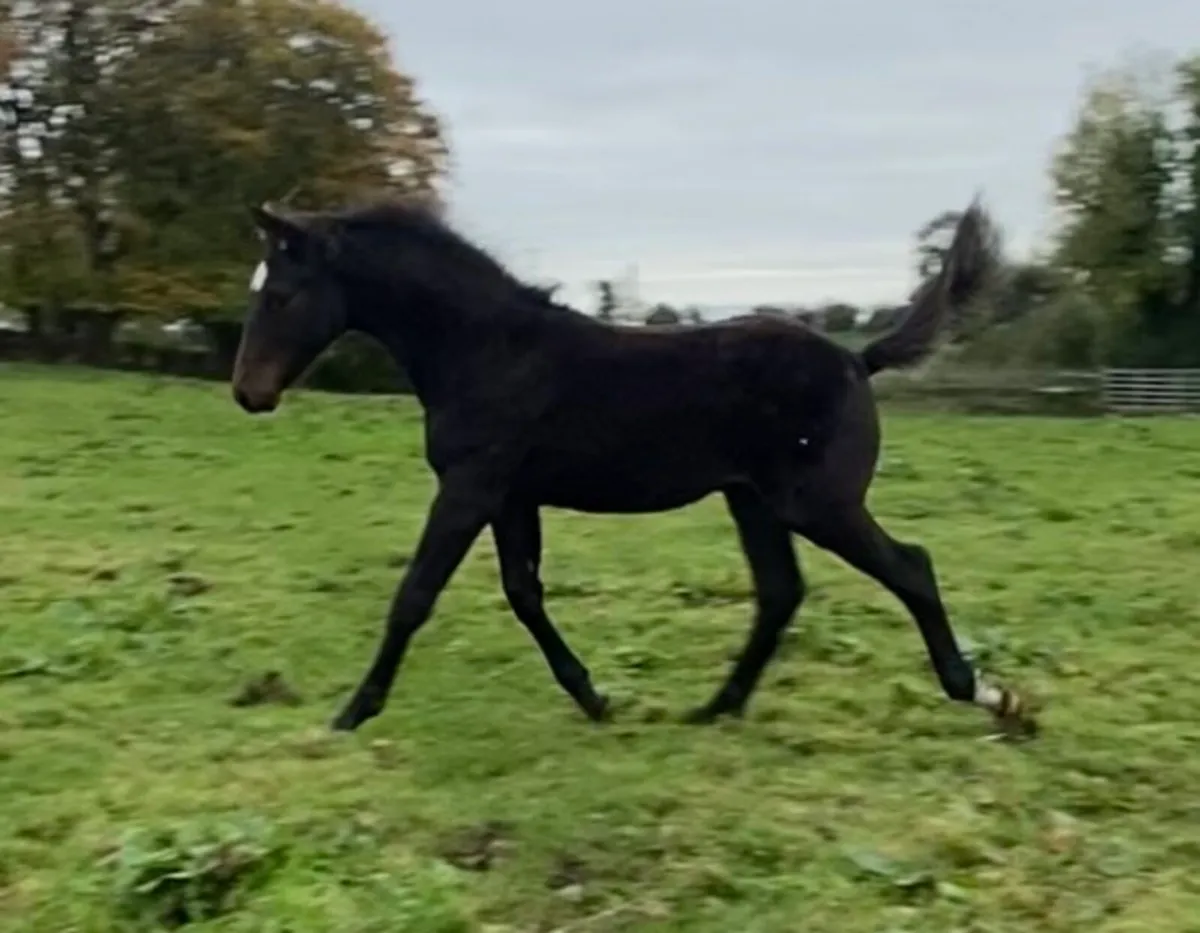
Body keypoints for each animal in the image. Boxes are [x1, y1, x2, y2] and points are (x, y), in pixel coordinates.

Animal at [231, 194, 1036, 738]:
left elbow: (415, 596)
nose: (248, 393)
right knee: (781, 592)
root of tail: (855, 360)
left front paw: (352, 712)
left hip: (818, 502)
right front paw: (594, 697)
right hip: (754, 500)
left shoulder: (469, 488)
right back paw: (715, 707)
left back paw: (985, 694)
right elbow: (524, 592)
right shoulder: (511, 496)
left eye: (283, 294)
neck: (486, 350)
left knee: (910, 567)